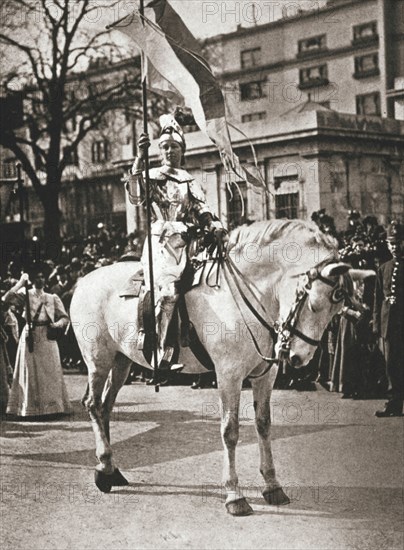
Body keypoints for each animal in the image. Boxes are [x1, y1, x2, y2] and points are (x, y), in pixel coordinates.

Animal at [71, 220, 356, 516]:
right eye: (314, 303)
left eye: (337, 310)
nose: (300, 358)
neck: (247, 296)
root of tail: (83, 280)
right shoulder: (229, 375)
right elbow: (230, 431)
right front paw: (234, 495)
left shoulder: (265, 376)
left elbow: (263, 424)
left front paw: (272, 486)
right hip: (98, 360)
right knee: (93, 404)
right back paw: (104, 468)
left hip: (122, 361)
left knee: (105, 406)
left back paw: (110, 470)